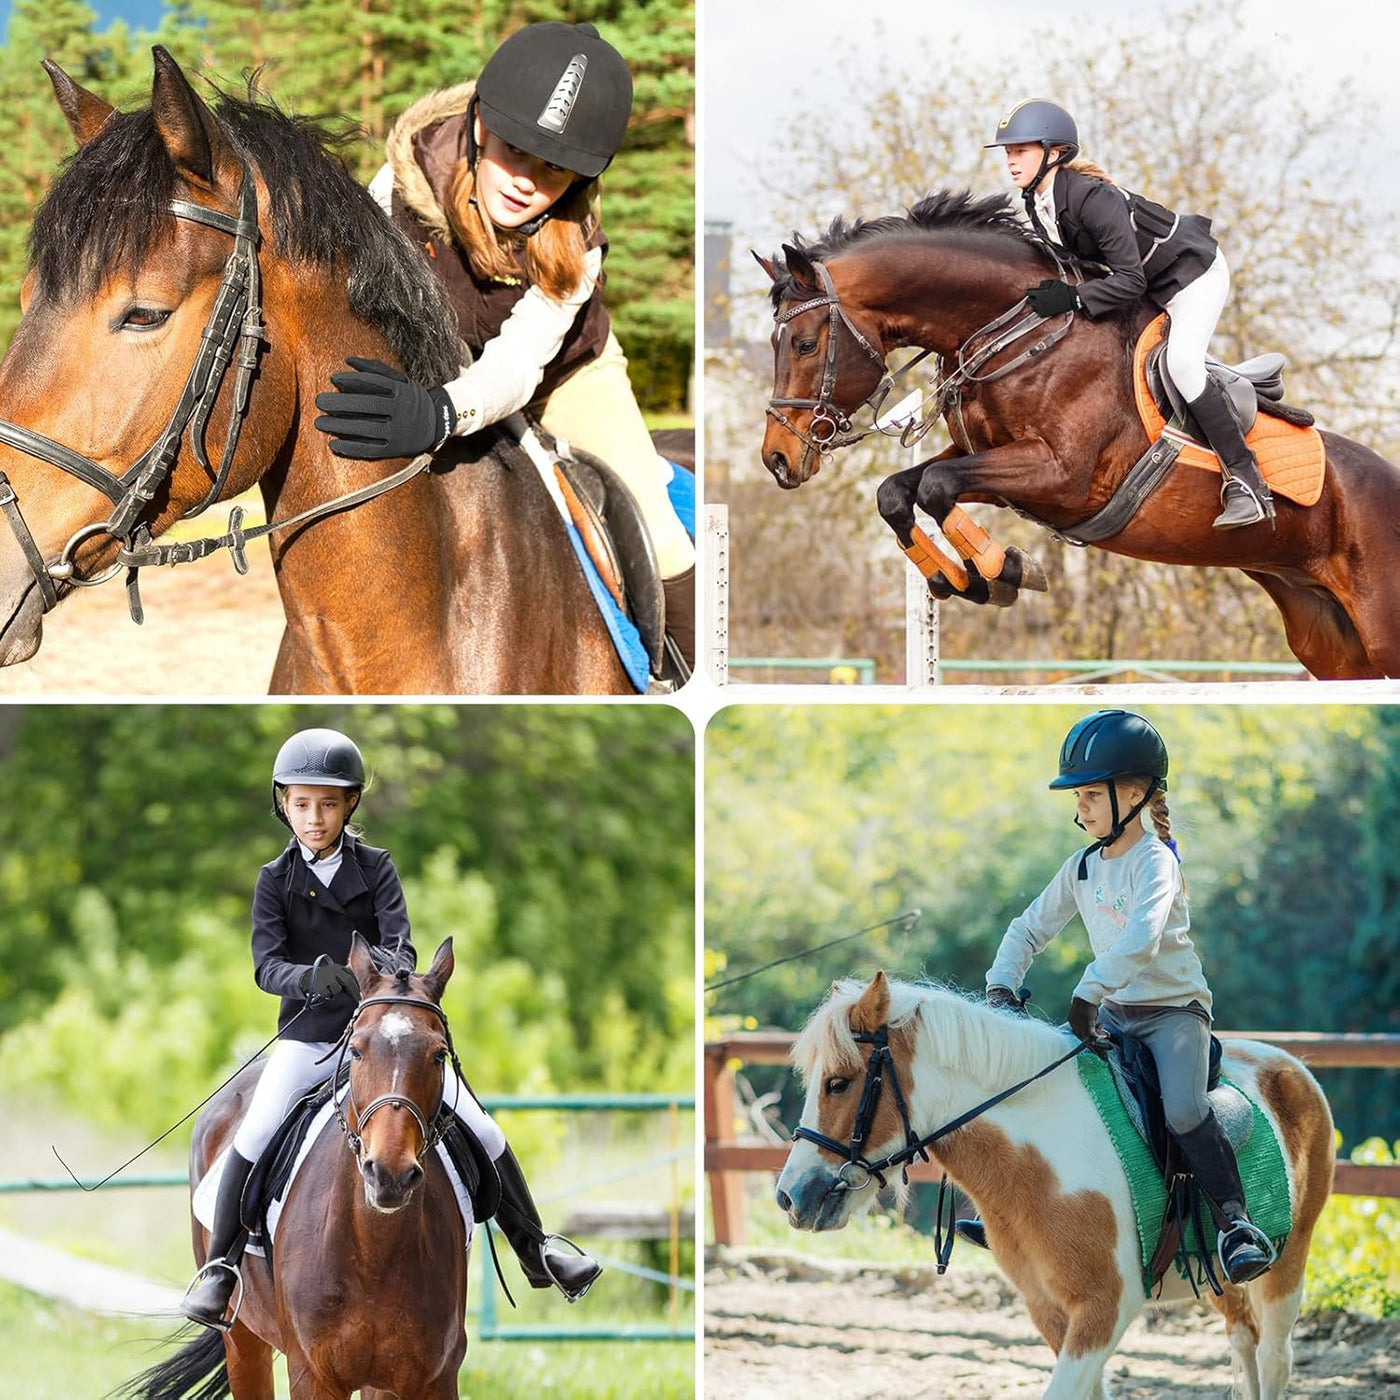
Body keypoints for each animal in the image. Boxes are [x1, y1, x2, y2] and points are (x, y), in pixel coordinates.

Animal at [121, 929, 470, 1400]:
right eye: (356, 1051)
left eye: (437, 1055)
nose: (389, 1174)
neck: (373, 1248)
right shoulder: (311, 1374)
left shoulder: (431, 1378)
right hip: (243, 1337)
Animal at [761, 193, 1400, 683]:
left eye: (805, 344)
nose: (777, 458)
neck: (1018, 331)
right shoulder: (993, 461)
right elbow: (899, 491)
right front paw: (960, 579)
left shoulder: (1061, 475)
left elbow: (937, 486)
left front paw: (1005, 570)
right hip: (1333, 643)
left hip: (1380, 633)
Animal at [778, 974, 1332, 1400]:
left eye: (838, 1083)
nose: (791, 1196)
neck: (1042, 1161)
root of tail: (1290, 1066)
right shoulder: (1047, 1308)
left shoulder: (1105, 1310)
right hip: (1219, 1274)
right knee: (1244, 1344)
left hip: (1289, 1261)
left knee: (1274, 1357)